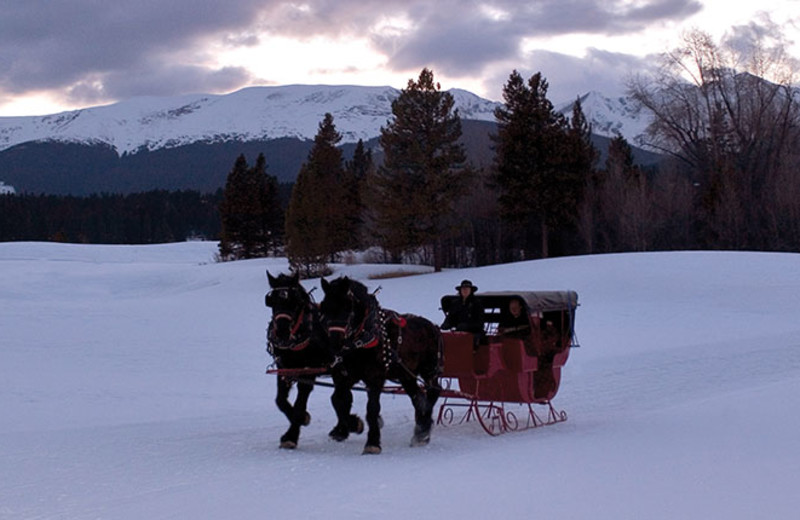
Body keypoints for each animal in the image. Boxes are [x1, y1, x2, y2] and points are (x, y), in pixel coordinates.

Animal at [264, 270, 336, 448]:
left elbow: (300, 402)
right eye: (272, 301)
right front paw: (303, 418)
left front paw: (291, 435)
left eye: (295, 301)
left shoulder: (309, 370)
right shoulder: (285, 368)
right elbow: (280, 401)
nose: (282, 331)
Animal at [318, 276, 444, 450]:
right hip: (406, 375)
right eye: (324, 308)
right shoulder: (345, 376)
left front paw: (372, 442)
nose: (335, 344)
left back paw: (423, 430)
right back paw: (421, 429)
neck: (364, 338)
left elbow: (372, 408)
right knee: (418, 396)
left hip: (429, 370)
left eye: (347, 308)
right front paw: (350, 426)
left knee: (433, 391)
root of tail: (433, 327)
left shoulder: (375, 378)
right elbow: (338, 400)